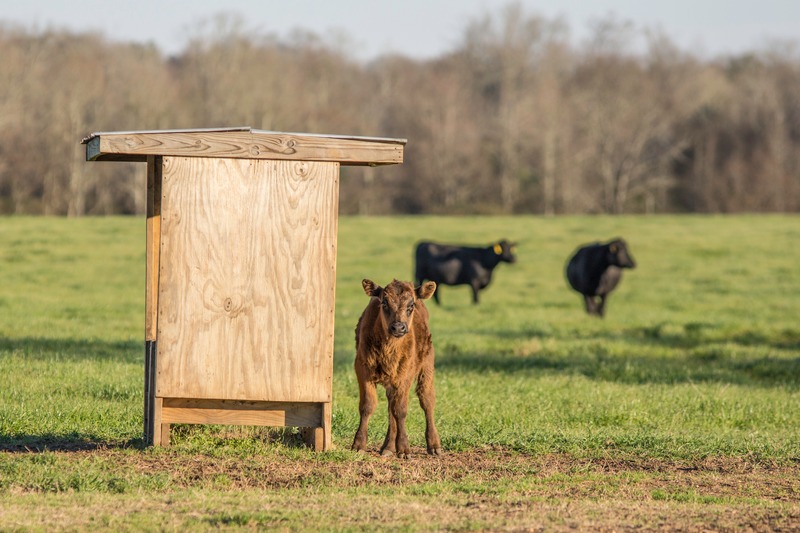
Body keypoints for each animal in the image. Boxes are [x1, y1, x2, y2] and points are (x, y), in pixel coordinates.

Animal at [351, 278, 443, 458]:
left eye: (411, 305)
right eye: (384, 303)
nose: (398, 327)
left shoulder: (405, 375)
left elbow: (400, 410)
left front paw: (404, 449)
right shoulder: (362, 370)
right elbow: (367, 405)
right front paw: (358, 445)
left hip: (427, 367)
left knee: (427, 401)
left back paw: (434, 445)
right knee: (390, 406)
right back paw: (388, 447)